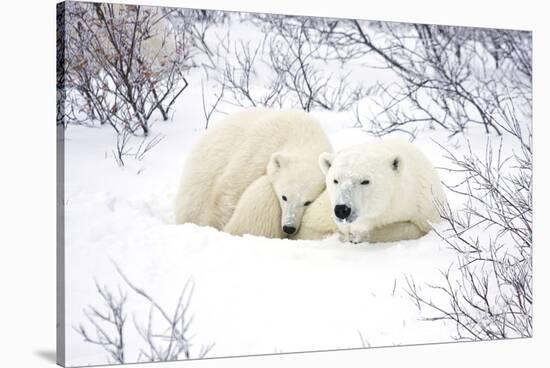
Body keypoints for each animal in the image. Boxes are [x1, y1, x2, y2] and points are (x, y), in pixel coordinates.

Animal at [177, 108, 332, 237]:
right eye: (284, 197)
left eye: (307, 202)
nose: (289, 227)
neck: (302, 135)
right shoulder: (259, 150)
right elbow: (230, 191)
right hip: (198, 184)